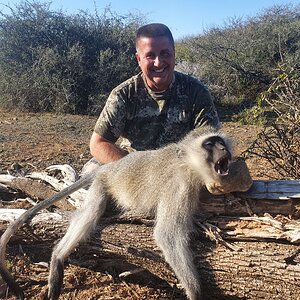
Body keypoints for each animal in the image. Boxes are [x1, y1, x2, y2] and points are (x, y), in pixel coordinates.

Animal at [0, 126, 251, 300]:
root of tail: (110, 167)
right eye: (210, 144)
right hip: (103, 184)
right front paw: (195, 291)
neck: (189, 166)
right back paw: (58, 256)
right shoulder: (178, 187)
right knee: (91, 211)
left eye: (220, 142)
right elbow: (167, 235)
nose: (223, 149)